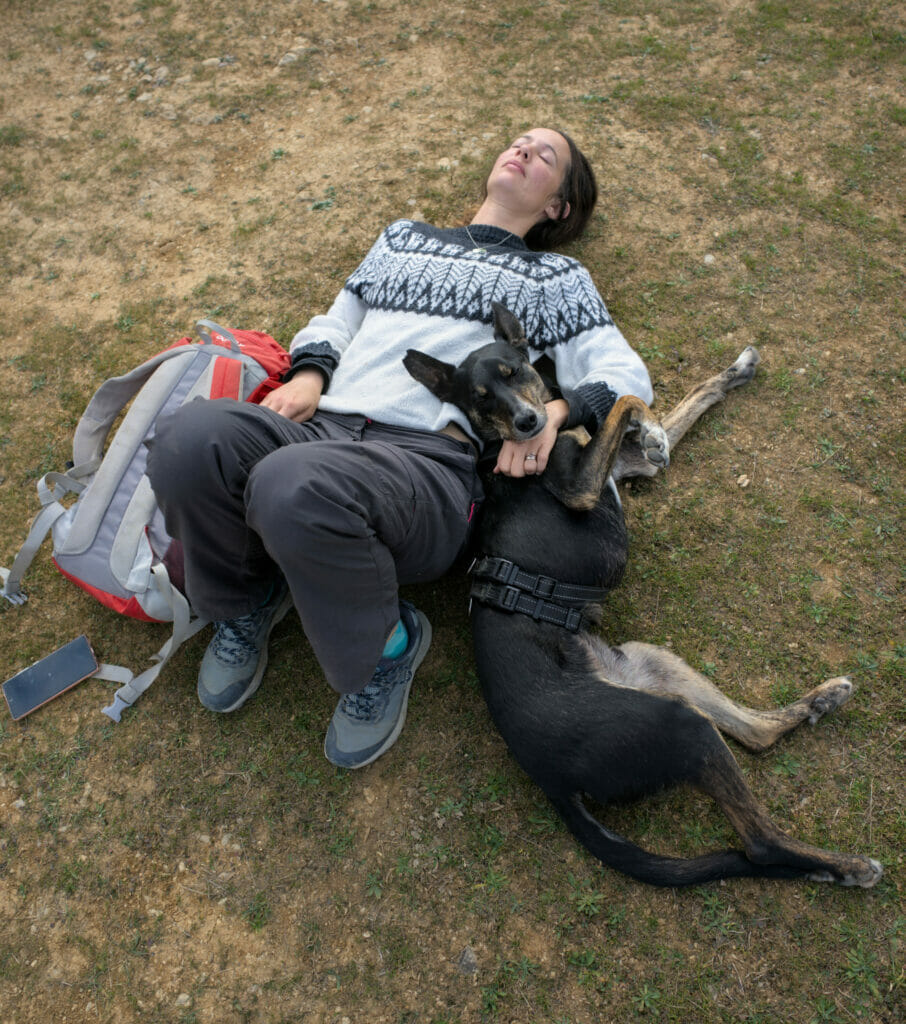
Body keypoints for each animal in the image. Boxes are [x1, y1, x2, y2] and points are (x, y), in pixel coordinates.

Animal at [405, 303, 884, 888]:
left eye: (513, 373)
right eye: (480, 400)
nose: (527, 424)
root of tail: (552, 780)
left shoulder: (623, 466)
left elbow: (672, 403)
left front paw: (722, 381)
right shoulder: (582, 487)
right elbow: (627, 403)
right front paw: (649, 424)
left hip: (657, 667)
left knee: (755, 734)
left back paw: (823, 701)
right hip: (681, 730)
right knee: (760, 842)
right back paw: (847, 867)